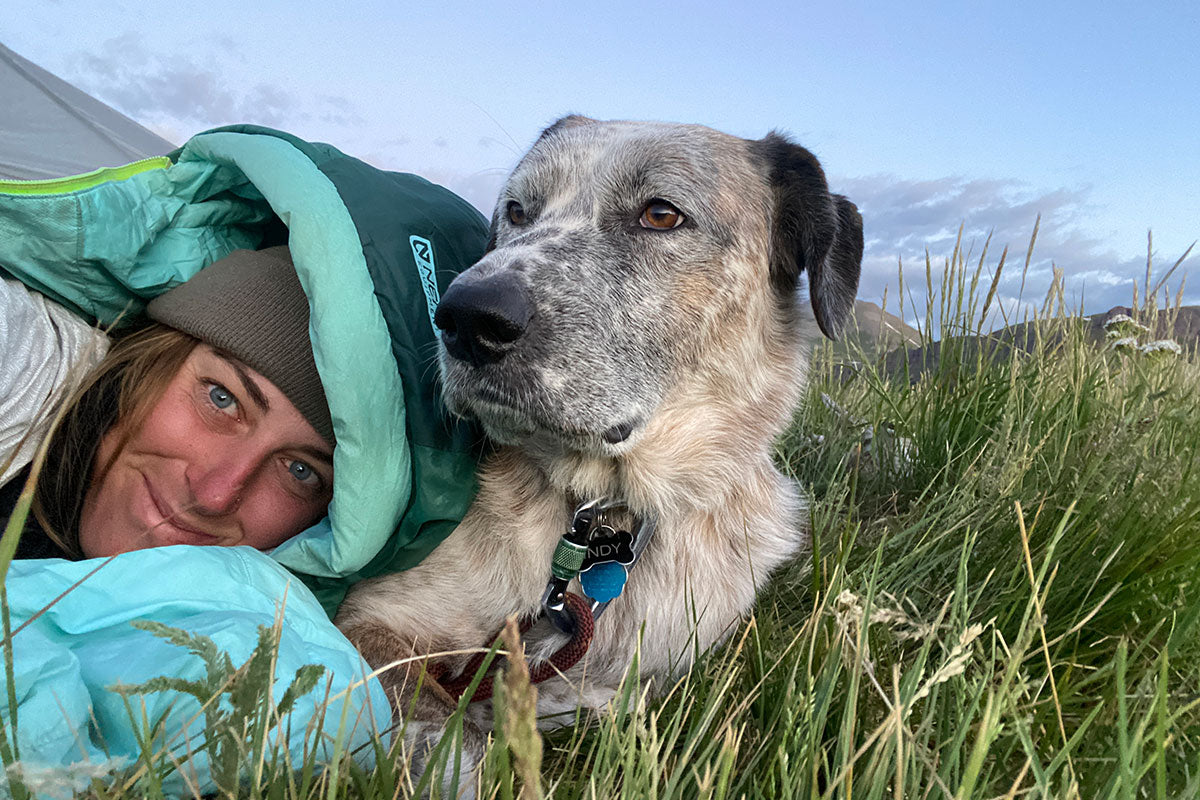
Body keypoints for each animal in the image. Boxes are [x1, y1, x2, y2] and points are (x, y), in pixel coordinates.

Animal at [336, 115, 864, 777]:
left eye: (661, 214)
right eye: (518, 210)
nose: (465, 318)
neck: (601, 517)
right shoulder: (369, 622)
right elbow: (453, 739)